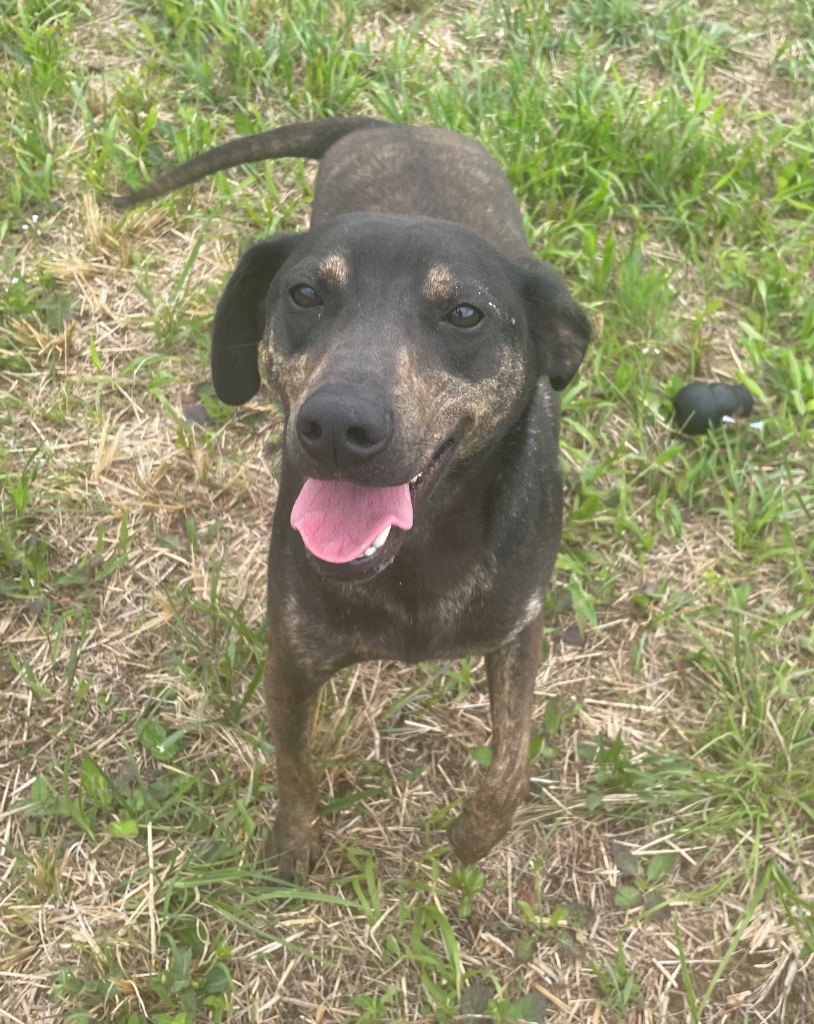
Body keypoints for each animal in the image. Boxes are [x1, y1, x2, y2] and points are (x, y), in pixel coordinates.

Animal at [114, 116, 589, 876]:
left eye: (465, 313)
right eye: (305, 295)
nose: (337, 425)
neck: (419, 554)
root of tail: (392, 122)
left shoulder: (520, 630)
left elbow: (512, 760)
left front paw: (475, 835)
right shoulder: (292, 660)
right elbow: (294, 767)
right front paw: (295, 843)